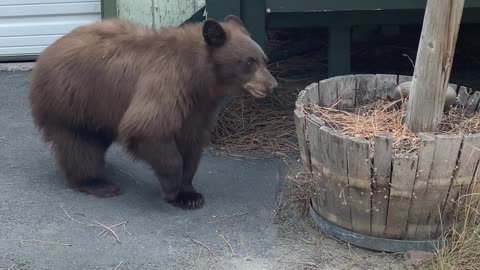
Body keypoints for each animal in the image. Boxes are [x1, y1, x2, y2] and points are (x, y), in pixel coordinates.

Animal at [29, 14, 278, 209]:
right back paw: (97, 183)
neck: (199, 78)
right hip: (73, 98)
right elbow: (148, 128)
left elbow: (191, 144)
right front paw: (172, 189)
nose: (272, 85)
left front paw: (190, 195)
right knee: (78, 143)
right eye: (249, 61)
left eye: (264, 59)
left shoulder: (199, 107)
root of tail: (47, 51)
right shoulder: (167, 84)